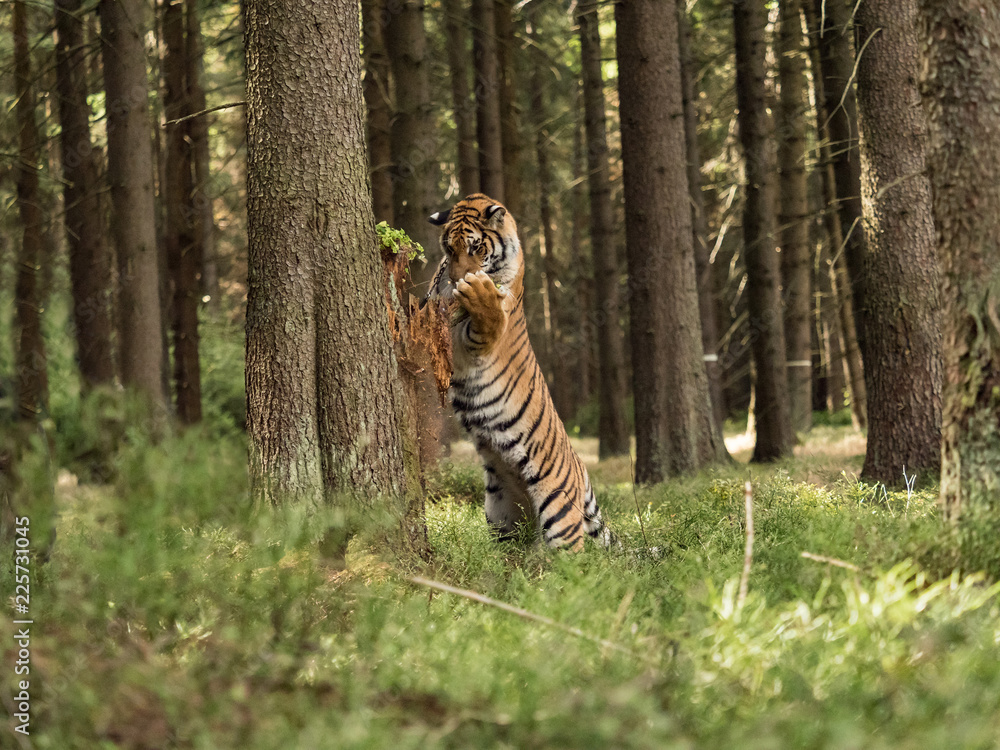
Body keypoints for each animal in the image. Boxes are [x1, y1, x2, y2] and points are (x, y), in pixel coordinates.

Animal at [423, 193, 611, 551]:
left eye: (476, 248)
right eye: (449, 250)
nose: (456, 280)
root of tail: (582, 469)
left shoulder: (479, 339)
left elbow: (489, 315)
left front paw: (476, 291)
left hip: (559, 513)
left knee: (575, 558)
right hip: (502, 511)